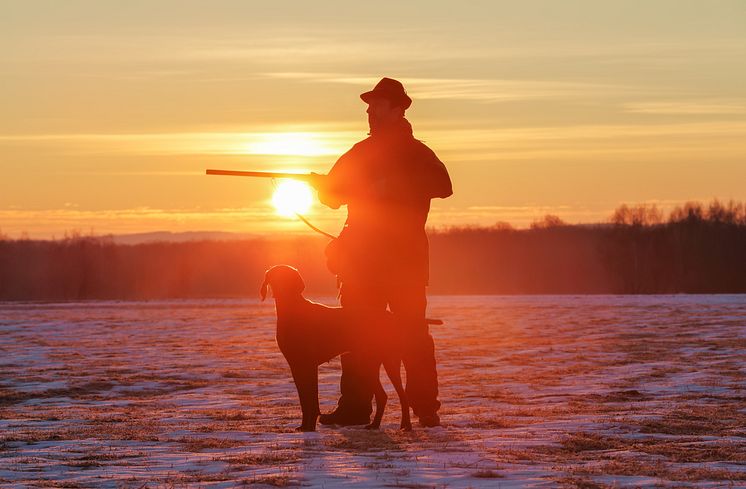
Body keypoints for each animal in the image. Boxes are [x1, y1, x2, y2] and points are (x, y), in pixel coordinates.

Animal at [260, 264, 412, 430]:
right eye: (274, 276)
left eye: (287, 277)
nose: (280, 289)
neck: (292, 309)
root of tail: (391, 318)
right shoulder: (296, 366)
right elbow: (304, 399)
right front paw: (304, 426)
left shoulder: (309, 365)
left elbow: (311, 400)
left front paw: (309, 427)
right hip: (368, 364)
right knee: (383, 396)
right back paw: (375, 424)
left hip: (388, 360)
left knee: (403, 396)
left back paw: (406, 425)